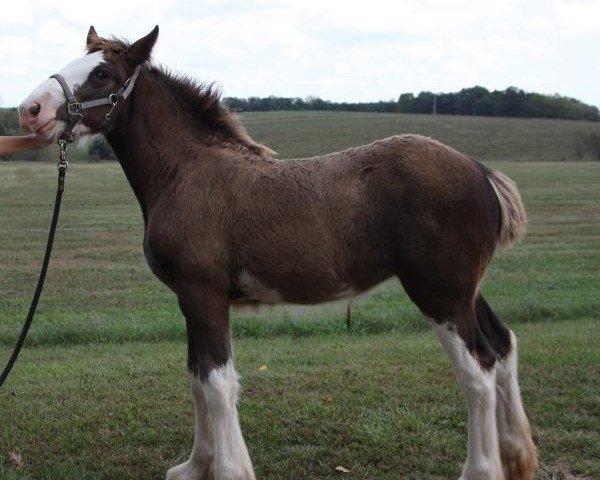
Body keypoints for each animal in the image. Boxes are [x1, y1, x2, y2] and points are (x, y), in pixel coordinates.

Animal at [18, 27, 536, 480]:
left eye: (102, 73)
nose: (29, 109)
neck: (187, 173)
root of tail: (481, 171)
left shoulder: (203, 293)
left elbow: (217, 383)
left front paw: (229, 470)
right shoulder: (190, 299)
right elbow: (196, 378)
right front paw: (195, 467)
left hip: (438, 293)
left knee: (477, 370)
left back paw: (480, 469)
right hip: (465, 290)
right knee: (502, 346)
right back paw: (517, 457)